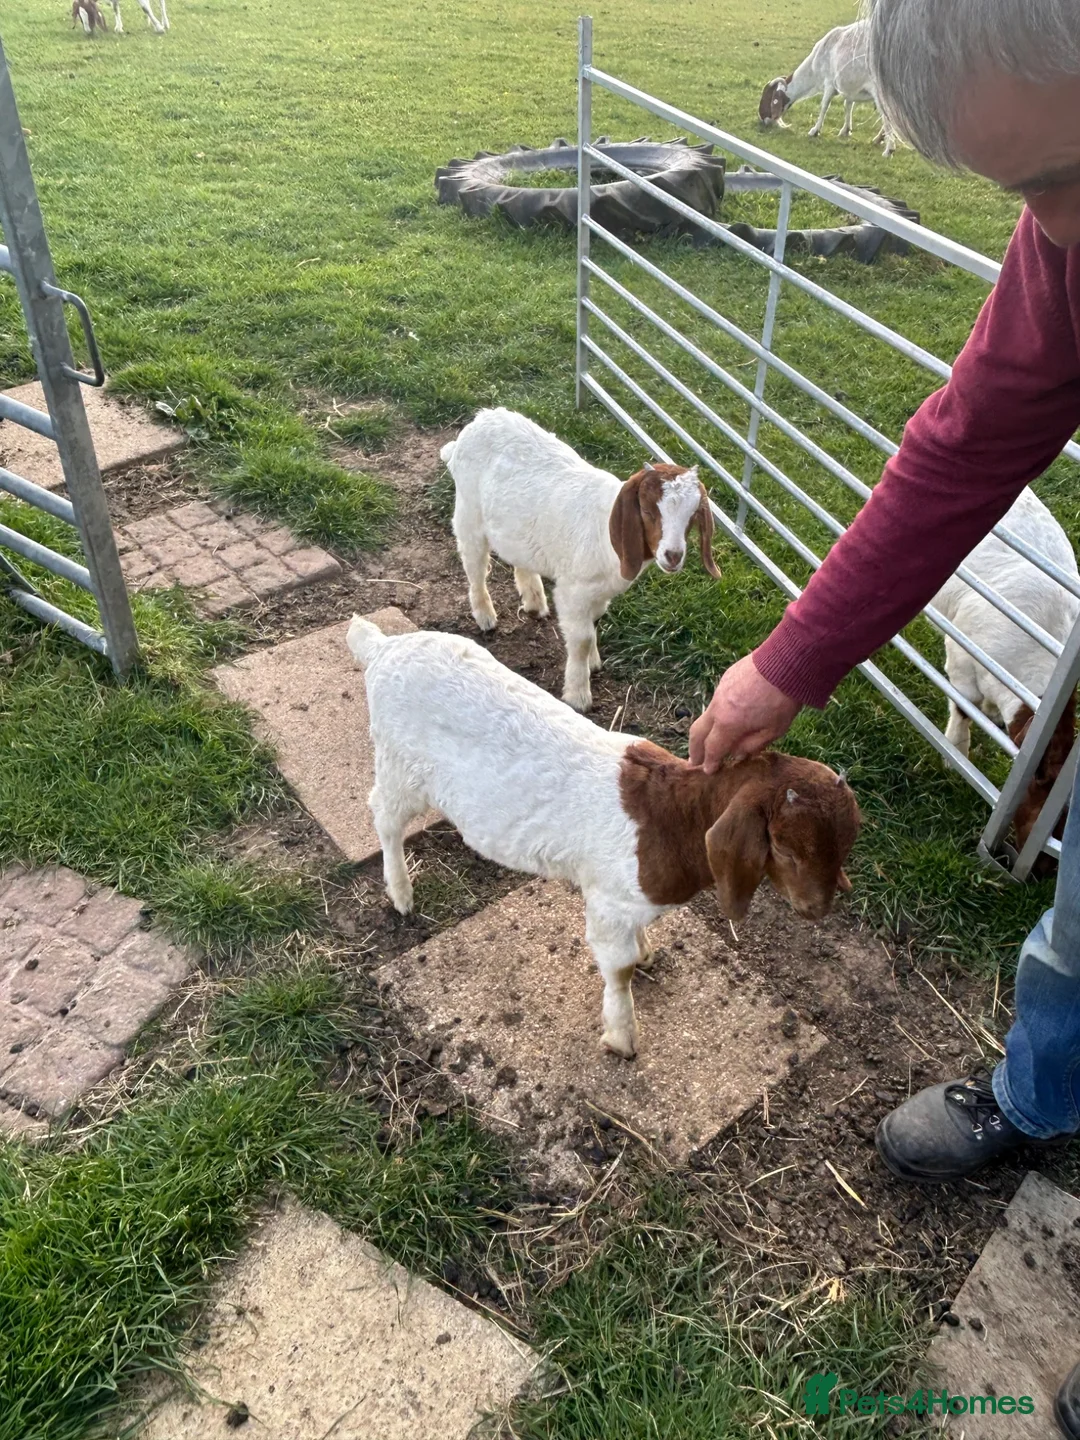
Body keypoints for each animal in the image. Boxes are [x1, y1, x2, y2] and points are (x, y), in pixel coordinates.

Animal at [349, 618, 860, 1060]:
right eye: (786, 848)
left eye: (845, 845)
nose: (818, 908)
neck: (672, 815)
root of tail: (382, 647)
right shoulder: (609, 903)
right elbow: (620, 969)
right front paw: (622, 1038)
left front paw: (647, 951)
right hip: (399, 764)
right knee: (384, 815)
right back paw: (401, 893)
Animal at [442, 408, 720, 713]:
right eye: (647, 511)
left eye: (693, 515)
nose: (673, 555)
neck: (605, 532)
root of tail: (479, 420)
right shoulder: (573, 591)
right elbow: (582, 637)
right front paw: (578, 694)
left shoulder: (598, 591)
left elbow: (595, 620)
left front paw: (593, 662)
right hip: (468, 515)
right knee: (475, 566)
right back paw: (485, 615)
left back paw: (534, 600)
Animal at [758, 20, 898, 157]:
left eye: (767, 99)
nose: (762, 120)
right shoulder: (848, 87)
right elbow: (848, 105)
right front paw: (845, 130)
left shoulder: (829, 82)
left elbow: (824, 106)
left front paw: (815, 130)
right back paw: (879, 139)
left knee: (887, 117)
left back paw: (889, 149)